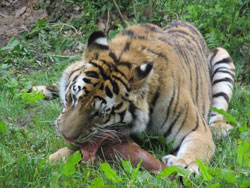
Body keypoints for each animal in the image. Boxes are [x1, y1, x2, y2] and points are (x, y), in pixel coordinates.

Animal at [32, 20, 234, 172]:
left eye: (99, 114)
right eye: (73, 98)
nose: (65, 135)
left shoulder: (197, 130)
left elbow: (194, 150)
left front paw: (183, 164)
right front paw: (47, 160)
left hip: (223, 58)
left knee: (219, 110)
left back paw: (219, 129)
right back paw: (35, 91)